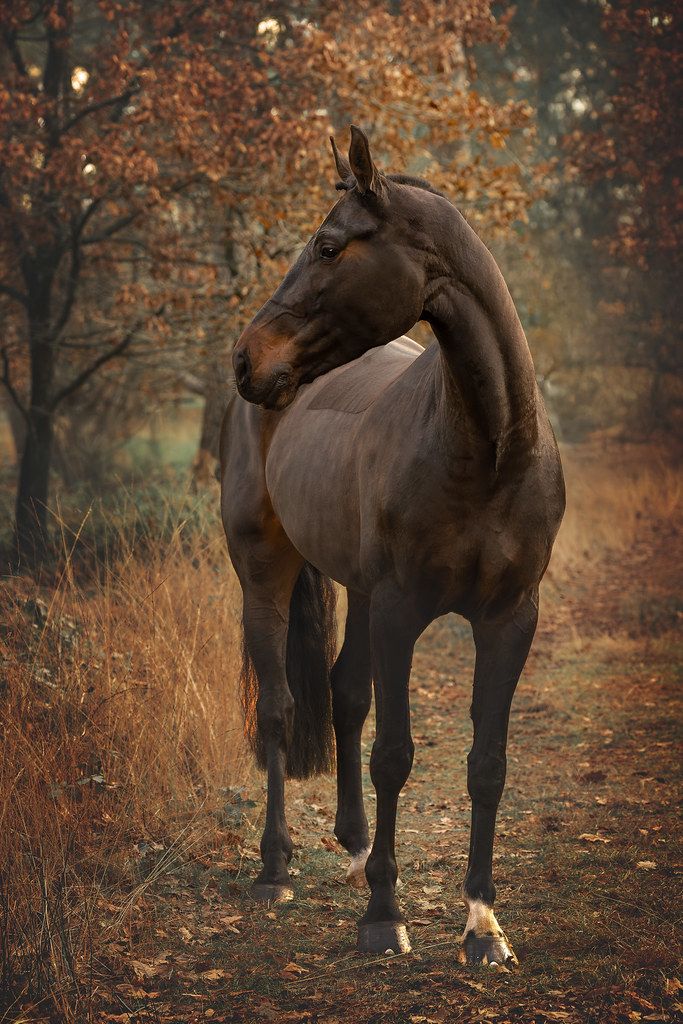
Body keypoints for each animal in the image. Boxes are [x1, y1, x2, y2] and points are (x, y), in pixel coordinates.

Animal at [220, 125, 565, 966]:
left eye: (328, 245)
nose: (247, 359)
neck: (487, 450)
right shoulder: (402, 612)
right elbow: (395, 754)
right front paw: (384, 914)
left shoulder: (509, 619)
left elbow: (485, 764)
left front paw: (481, 923)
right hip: (265, 573)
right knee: (279, 711)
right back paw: (275, 869)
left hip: (358, 590)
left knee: (343, 695)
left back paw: (351, 849)